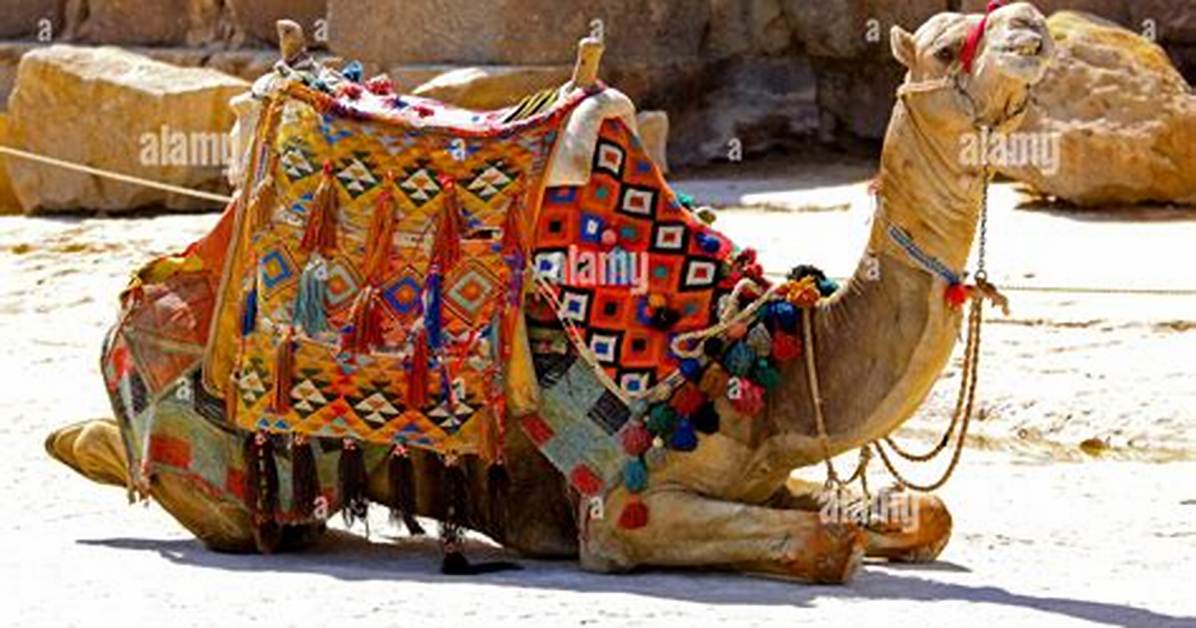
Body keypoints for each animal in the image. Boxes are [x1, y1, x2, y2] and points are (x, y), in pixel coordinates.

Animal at [44, 3, 1053, 584]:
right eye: (947, 44)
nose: (1035, 25)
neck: (763, 362)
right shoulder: (620, 509)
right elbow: (828, 547)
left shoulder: (761, 467)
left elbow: (923, 513)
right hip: (219, 475)